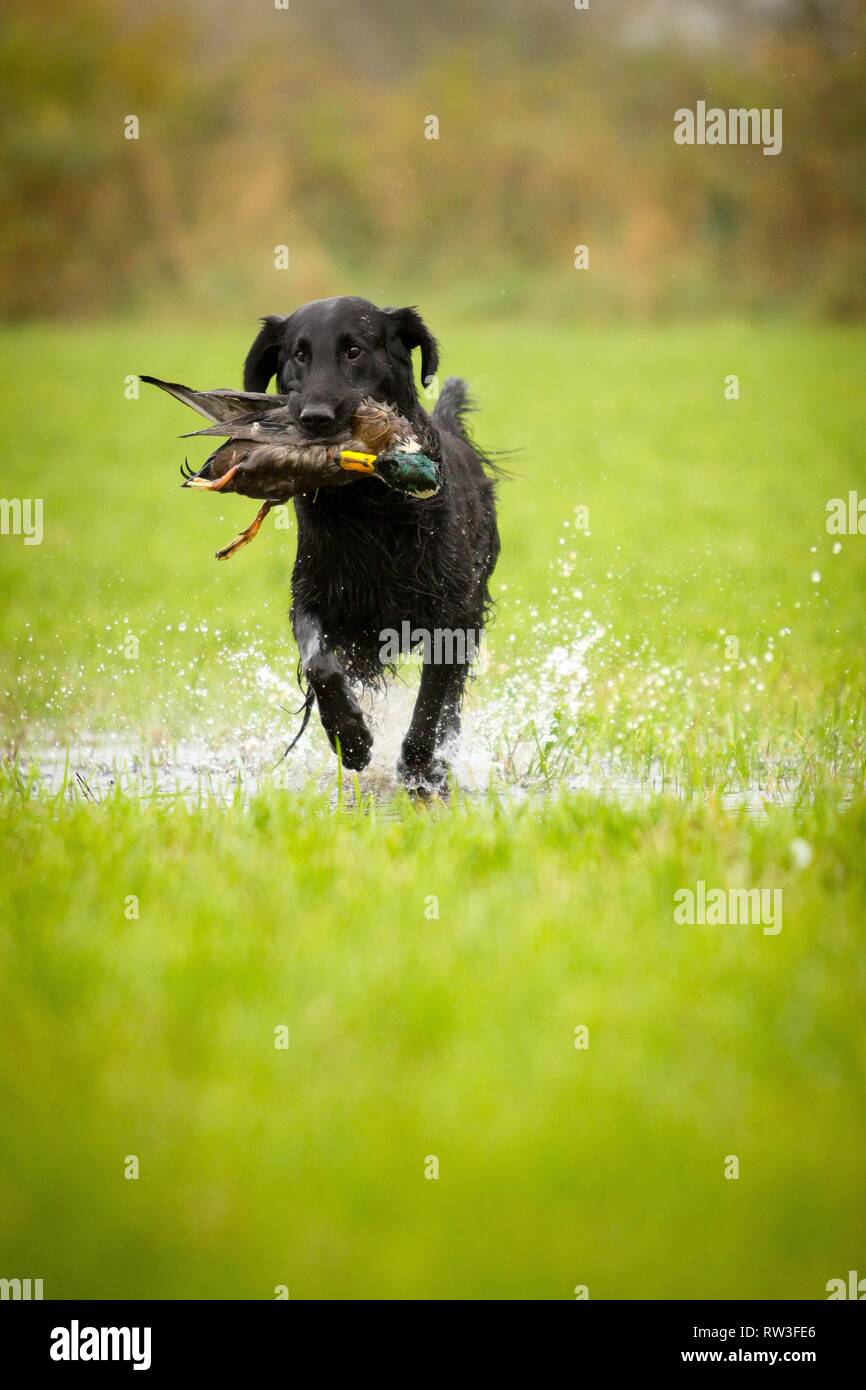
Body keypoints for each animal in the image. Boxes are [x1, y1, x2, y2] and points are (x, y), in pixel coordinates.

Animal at [244, 293, 500, 795]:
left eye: (353, 350)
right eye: (298, 355)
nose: (316, 419)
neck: (368, 503)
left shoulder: (453, 610)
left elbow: (433, 695)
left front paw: (418, 766)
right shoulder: (311, 595)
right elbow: (320, 664)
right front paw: (351, 737)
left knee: (452, 701)